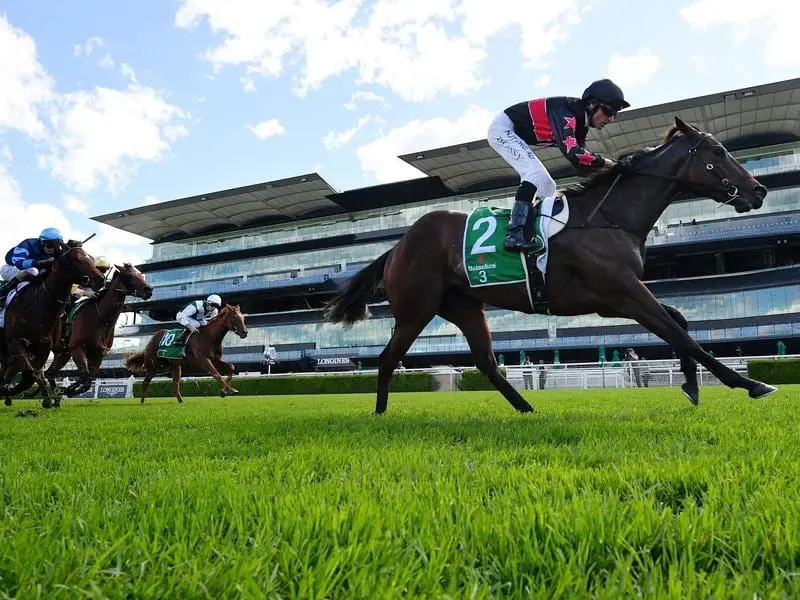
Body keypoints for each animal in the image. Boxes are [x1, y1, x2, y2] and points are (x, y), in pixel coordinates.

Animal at [324, 118, 776, 418]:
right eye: (718, 153)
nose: (759, 189)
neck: (608, 217)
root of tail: (398, 246)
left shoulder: (615, 300)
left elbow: (679, 323)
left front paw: (691, 385)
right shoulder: (623, 294)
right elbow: (683, 336)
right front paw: (750, 383)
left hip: (466, 306)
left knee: (487, 364)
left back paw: (527, 409)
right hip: (416, 309)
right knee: (387, 359)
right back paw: (380, 415)